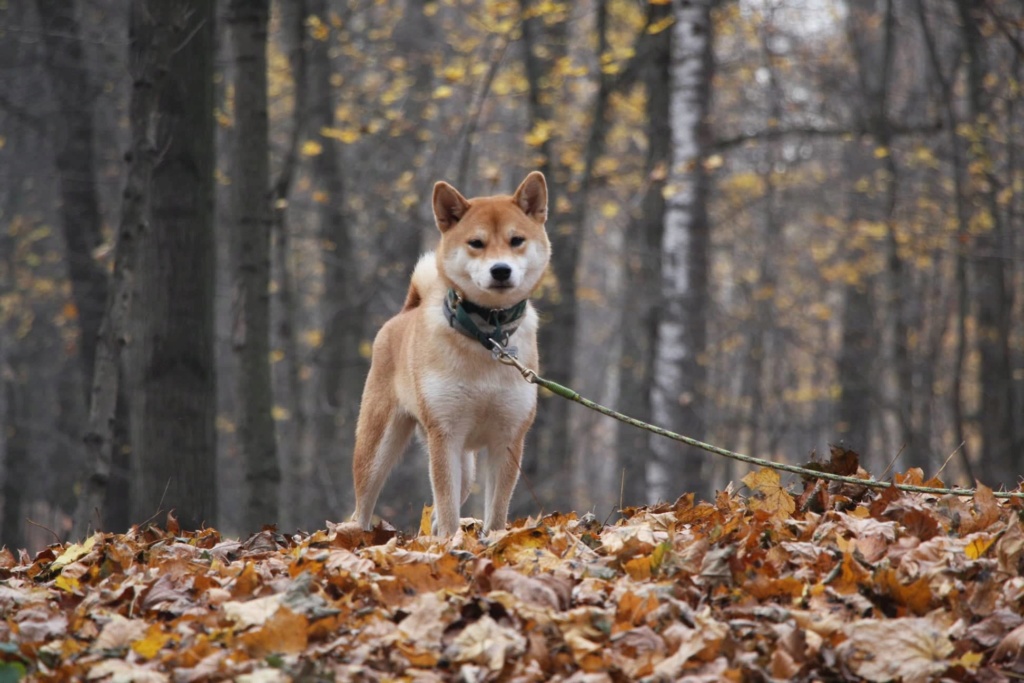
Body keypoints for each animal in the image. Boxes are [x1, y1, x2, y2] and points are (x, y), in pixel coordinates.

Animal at [350, 172, 548, 540]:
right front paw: (450, 543)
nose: (501, 270)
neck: (487, 337)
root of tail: (405, 312)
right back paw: (352, 536)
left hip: (466, 468)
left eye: (516, 240)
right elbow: (446, 507)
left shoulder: (508, 438)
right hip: (378, 448)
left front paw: (494, 540)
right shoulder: (446, 435)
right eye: (476, 243)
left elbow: (496, 510)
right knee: (362, 506)